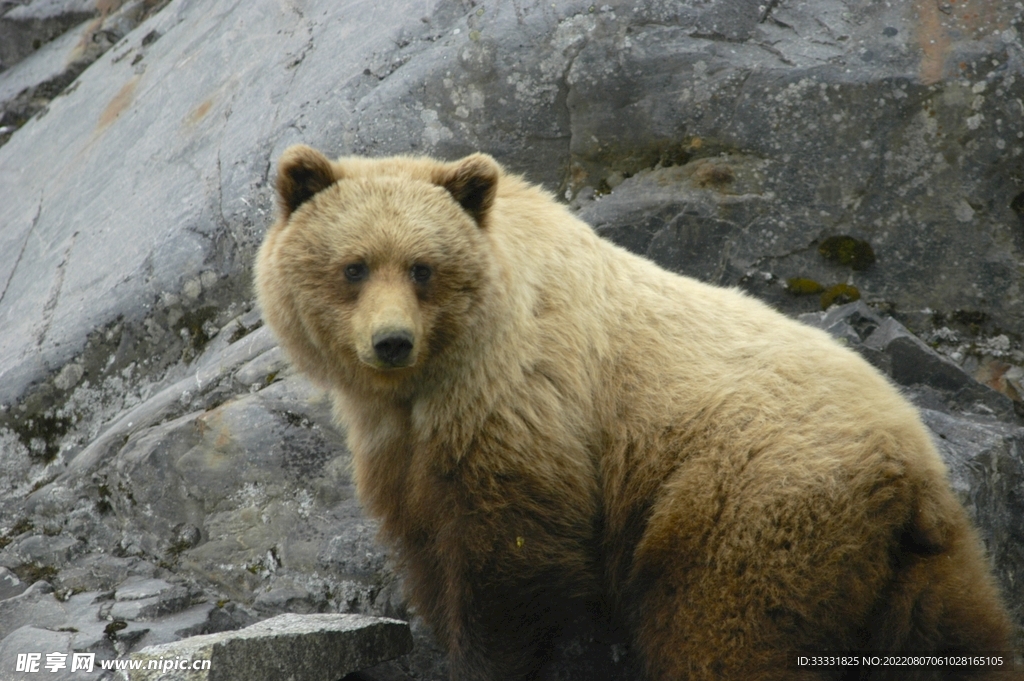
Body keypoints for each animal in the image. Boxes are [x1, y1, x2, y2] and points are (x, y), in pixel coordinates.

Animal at [251, 147, 1011, 679]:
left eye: (422, 267)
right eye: (353, 266)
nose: (391, 341)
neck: (431, 381)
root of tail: (907, 469)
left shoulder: (523, 408)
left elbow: (506, 565)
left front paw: (484, 658)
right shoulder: (403, 448)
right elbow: (426, 544)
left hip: (747, 507)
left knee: (724, 634)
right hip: (925, 567)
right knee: (960, 640)